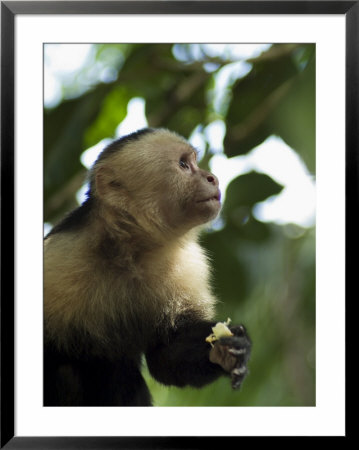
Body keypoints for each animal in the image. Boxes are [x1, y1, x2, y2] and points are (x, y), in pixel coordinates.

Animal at [43, 128, 252, 406]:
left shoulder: (188, 264)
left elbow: (165, 356)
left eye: (194, 163)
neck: (130, 252)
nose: (212, 178)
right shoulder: (59, 259)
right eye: (183, 165)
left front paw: (226, 351)